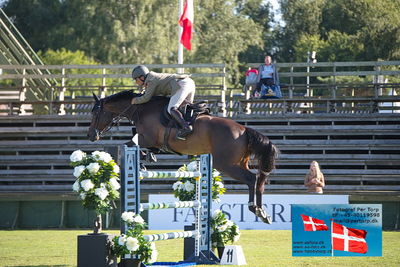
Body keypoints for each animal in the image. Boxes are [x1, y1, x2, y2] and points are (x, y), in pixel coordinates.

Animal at [86, 90, 278, 224]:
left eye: (95, 113)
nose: (90, 135)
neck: (140, 109)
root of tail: (244, 130)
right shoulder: (153, 142)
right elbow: (142, 147)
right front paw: (148, 158)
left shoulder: (147, 138)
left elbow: (130, 144)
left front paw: (143, 160)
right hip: (239, 162)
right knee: (260, 181)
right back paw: (264, 213)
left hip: (227, 164)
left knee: (251, 179)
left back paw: (255, 209)